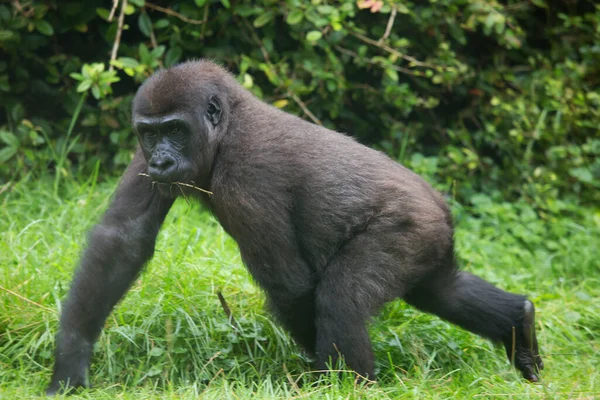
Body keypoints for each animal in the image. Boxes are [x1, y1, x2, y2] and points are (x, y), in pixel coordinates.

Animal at [45, 59, 544, 394]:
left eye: (175, 130)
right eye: (150, 134)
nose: (162, 161)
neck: (228, 124)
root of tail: (439, 204)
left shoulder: (249, 175)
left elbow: (290, 284)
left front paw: (325, 378)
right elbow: (122, 238)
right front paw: (70, 360)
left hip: (408, 226)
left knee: (344, 297)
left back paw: (352, 384)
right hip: (430, 237)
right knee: (441, 289)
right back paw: (518, 324)